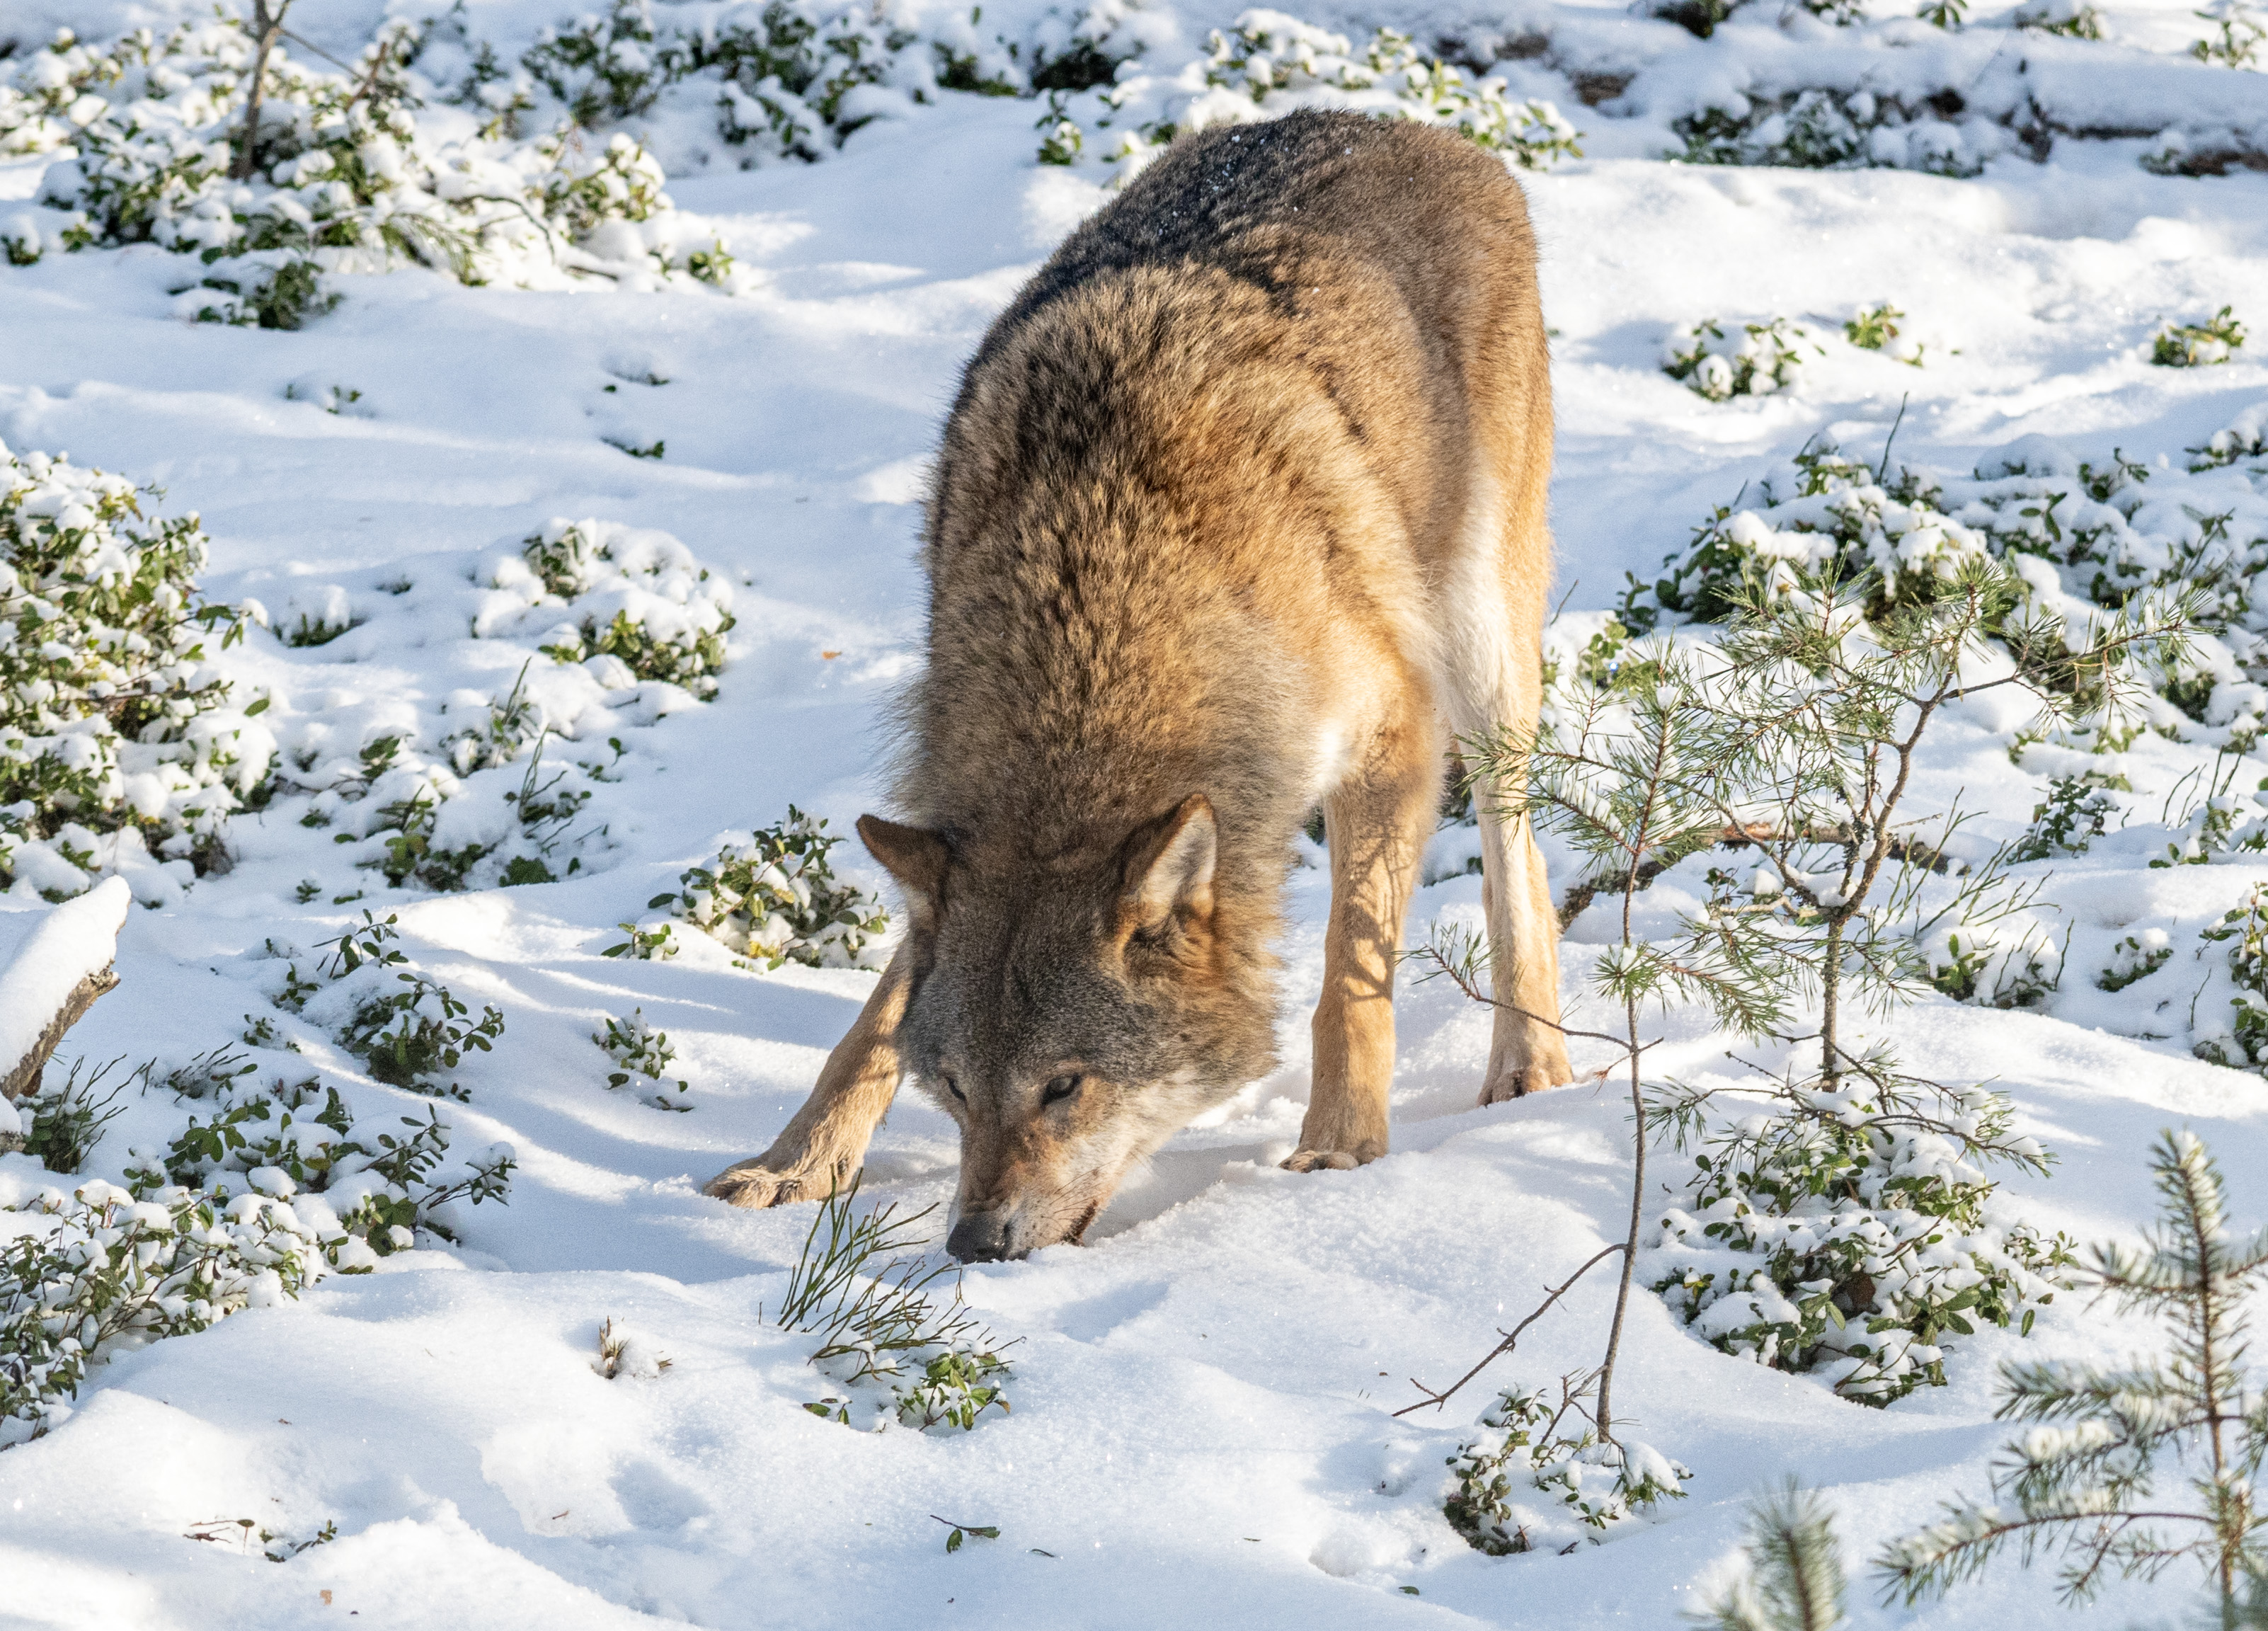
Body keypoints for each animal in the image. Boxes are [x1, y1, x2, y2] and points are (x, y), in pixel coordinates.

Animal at [707, 108, 1578, 1261]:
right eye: (958, 1091)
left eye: (1065, 1087)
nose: (973, 1242)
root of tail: (1410, 127)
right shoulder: (965, 827)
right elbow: (879, 1014)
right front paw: (795, 1163)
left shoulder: (1393, 735)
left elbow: (1350, 978)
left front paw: (1339, 1156)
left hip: (1484, 657)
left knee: (1517, 860)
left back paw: (1531, 1068)